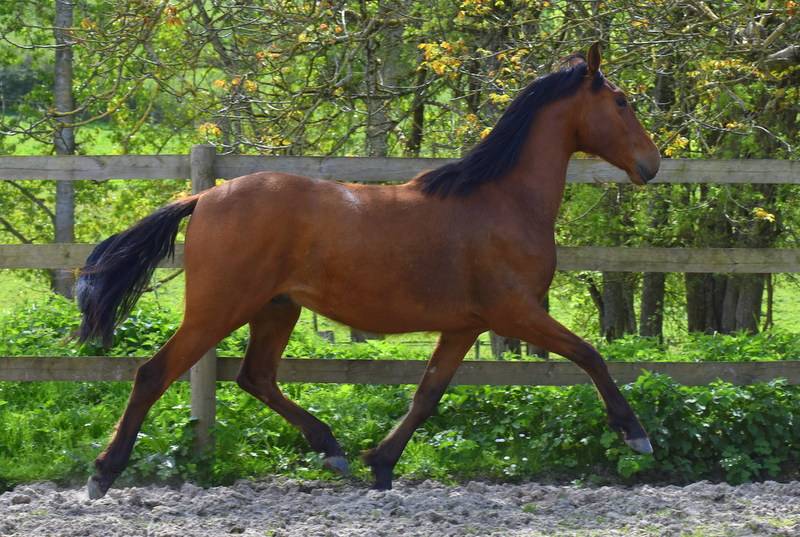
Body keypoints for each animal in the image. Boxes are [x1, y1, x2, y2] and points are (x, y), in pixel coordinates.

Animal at [77, 43, 660, 499]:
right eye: (622, 102)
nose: (651, 165)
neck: (503, 200)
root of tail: (204, 196)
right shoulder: (514, 311)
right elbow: (590, 355)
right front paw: (636, 435)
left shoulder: (465, 325)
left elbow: (427, 395)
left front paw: (380, 463)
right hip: (218, 308)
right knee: (154, 374)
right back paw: (103, 473)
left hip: (276, 308)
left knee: (256, 377)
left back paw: (331, 448)